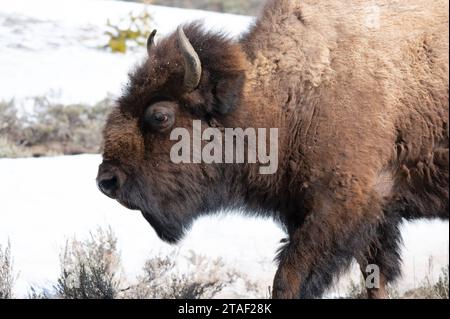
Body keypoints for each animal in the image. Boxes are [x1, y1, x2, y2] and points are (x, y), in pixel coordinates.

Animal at [96, 0, 448, 300]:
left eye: (160, 116)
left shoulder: (339, 206)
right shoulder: (368, 213)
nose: (107, 181)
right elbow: (375, 275)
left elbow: (289, 278)